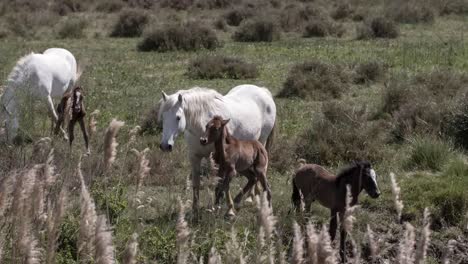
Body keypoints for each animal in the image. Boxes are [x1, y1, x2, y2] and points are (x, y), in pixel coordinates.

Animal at [159, 84, 276, 217]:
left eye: (178, 118)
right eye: (163, 117)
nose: (165, 145)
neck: (201, 127)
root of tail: (262, 90)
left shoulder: (217, 162)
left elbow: (219, 184)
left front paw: (221, 207)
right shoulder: (194, 157)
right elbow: (196, 183)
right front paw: (195, 209)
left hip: (262, 142)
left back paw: (250, 197)